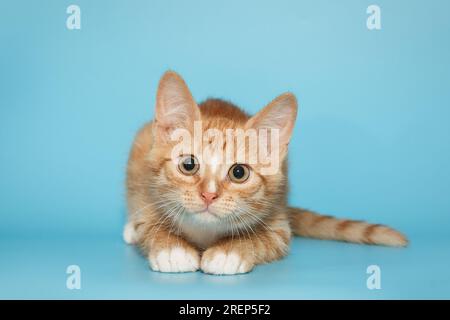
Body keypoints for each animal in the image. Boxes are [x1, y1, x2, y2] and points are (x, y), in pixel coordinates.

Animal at [124, 70, 408, 276]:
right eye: (189, 165)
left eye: (239, 172)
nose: (208, 195)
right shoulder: (149, 196)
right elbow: (150, 225)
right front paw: (172, 250)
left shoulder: (280, 228)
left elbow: (261, 239)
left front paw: (229, 252)